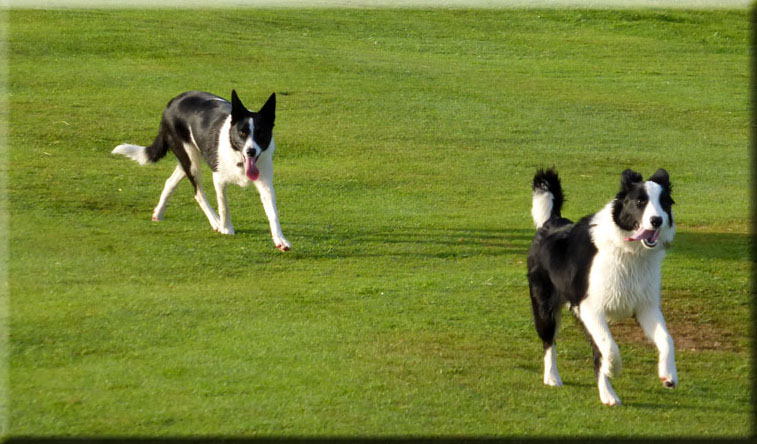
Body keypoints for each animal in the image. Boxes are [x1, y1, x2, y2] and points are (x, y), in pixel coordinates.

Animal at [112, 90, 290, 251]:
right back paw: (216, 221)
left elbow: (273, 213)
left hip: (187, 159)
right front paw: (226, 228)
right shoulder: (219, 179)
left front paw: (280, 240)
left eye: (261, 134)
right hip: (190, 160)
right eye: (242, 133)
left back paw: (159, 212)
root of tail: (172, 102)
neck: (238, 157)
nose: (251, 151)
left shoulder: (265, 184)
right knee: (198, 193)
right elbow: (223, 205)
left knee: (170, 182)